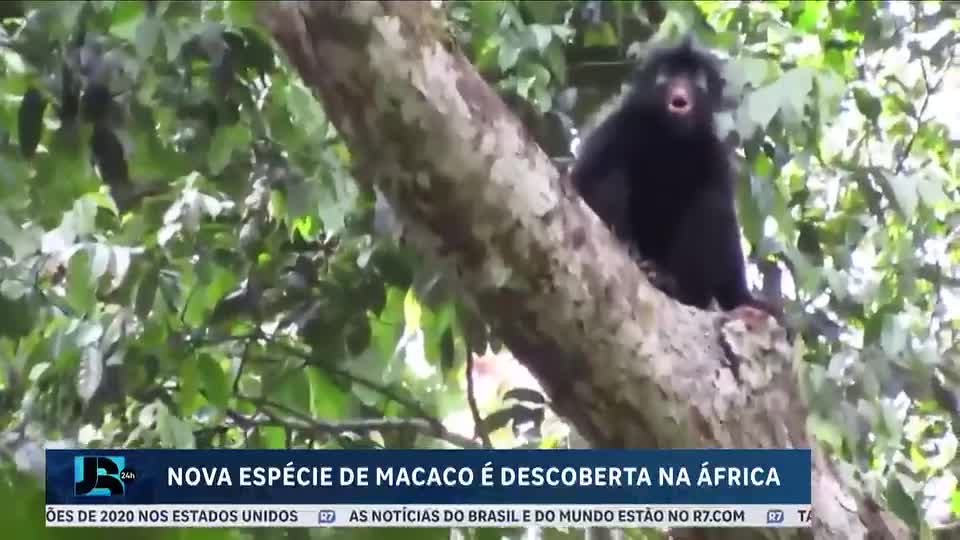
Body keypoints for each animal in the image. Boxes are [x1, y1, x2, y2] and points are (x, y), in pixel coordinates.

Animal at [570, 37, 783, 324]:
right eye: (669, 74)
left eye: (694, 78)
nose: (681, 86)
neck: (669, 139)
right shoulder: (617, 126)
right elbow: (582, 181)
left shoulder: (713, 153)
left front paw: (743, 299)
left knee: (710, 203)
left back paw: (674, 286)